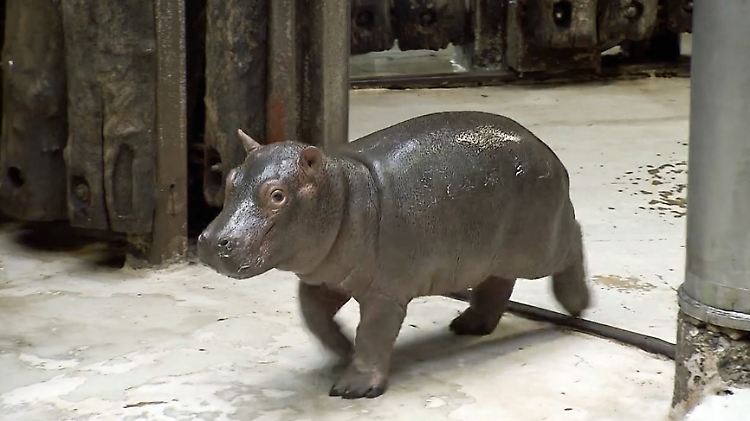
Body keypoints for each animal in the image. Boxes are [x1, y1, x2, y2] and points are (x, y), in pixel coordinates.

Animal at [197, 111, 590, 399]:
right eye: (230, 179)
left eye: (277, 195)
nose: (209, 240)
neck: (342, 189)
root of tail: (551, 156)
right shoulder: (329, 278)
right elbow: (313, 314)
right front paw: (342, 351)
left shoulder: (385, 292)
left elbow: (374, 333)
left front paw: (352, 388)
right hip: (494, 252)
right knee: (498, 282)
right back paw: (468, 326)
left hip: (539, 246)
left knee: (574, 240)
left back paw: (577, 306)